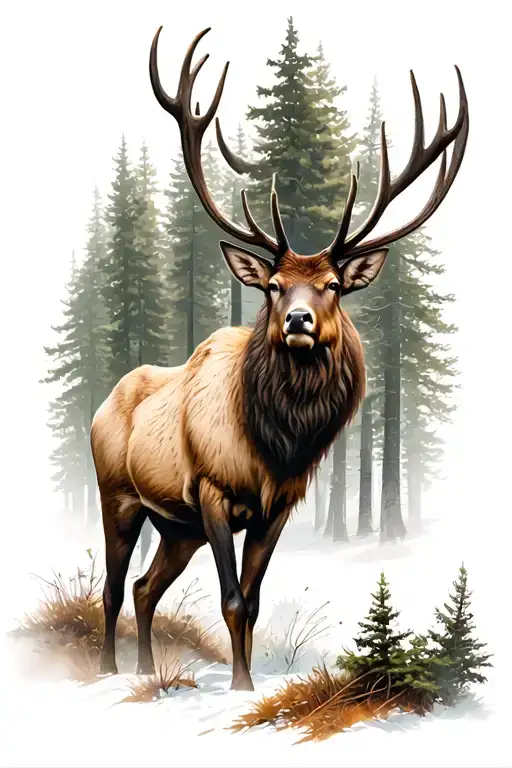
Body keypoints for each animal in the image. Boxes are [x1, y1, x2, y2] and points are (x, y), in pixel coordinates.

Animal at [90, 26, 468, 691]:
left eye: (334, 286)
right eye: (272, 285)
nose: (297, 320)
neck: (275, 442)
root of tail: (99, 407)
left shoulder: (279, 507)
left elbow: (254, 599)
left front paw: (246, 684)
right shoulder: (212, 491)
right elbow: (232, 600)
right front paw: (240, 687)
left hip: (176, 526)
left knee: (142, 588)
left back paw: (144, 671)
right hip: (120, 496)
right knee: (112, 589)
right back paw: (108, 672)